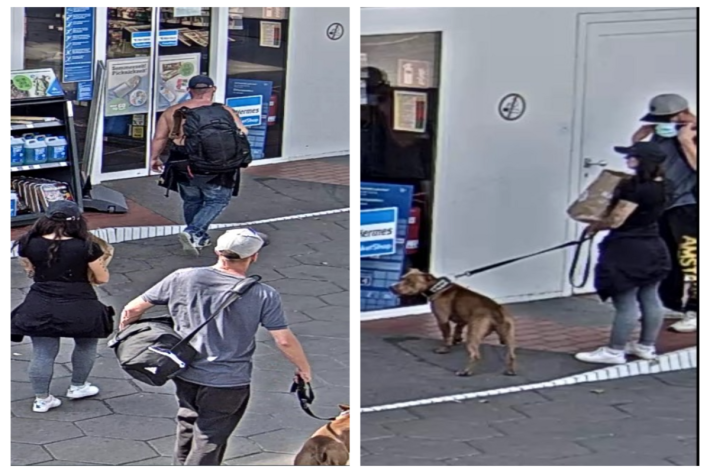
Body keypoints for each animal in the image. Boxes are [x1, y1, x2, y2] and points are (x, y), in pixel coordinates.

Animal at [392, 270, 520, 376]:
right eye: (402, 278)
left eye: (409, 281)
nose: (391, 287)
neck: (437, 287)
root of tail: (495, 310)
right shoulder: (462, 319)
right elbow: (458, 328)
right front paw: (456, 339)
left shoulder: (442, 320)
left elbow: (446, 335)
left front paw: (445, 348)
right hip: (509, 335)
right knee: (512, 354)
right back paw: (510, 371)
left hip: (473, 335)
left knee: (475, 355)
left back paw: (466, 372)